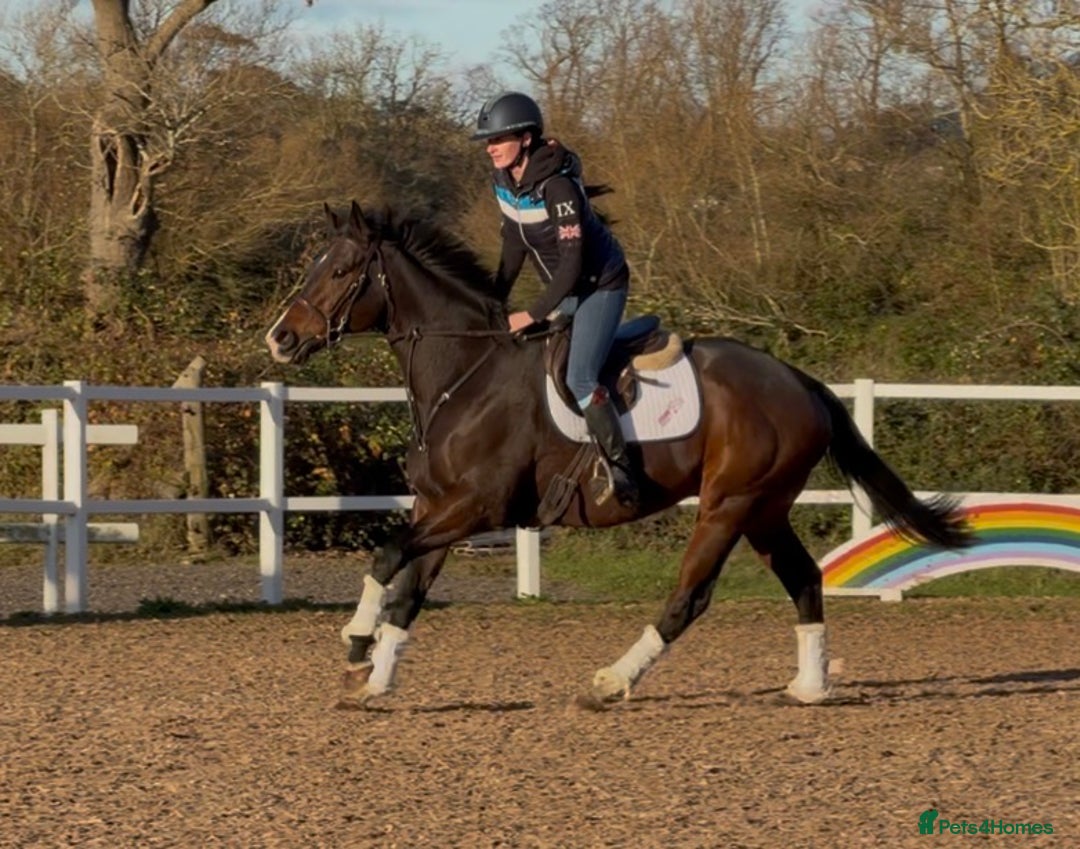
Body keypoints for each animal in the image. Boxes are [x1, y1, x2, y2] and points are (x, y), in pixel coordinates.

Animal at [265, 200, 974, 708]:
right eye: (312, 266)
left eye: (339, 271)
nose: (280, 339)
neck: (465, 373)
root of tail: (799, 382)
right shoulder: (440, 509)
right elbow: (407, 590)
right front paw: (376, 676)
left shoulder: (477, 508)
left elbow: (386, 555)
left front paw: (356, 643)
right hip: (765, 510)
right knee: (803, 579)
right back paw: (810, 687)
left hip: (729, 504)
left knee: (690, 597)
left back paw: (612, 681)